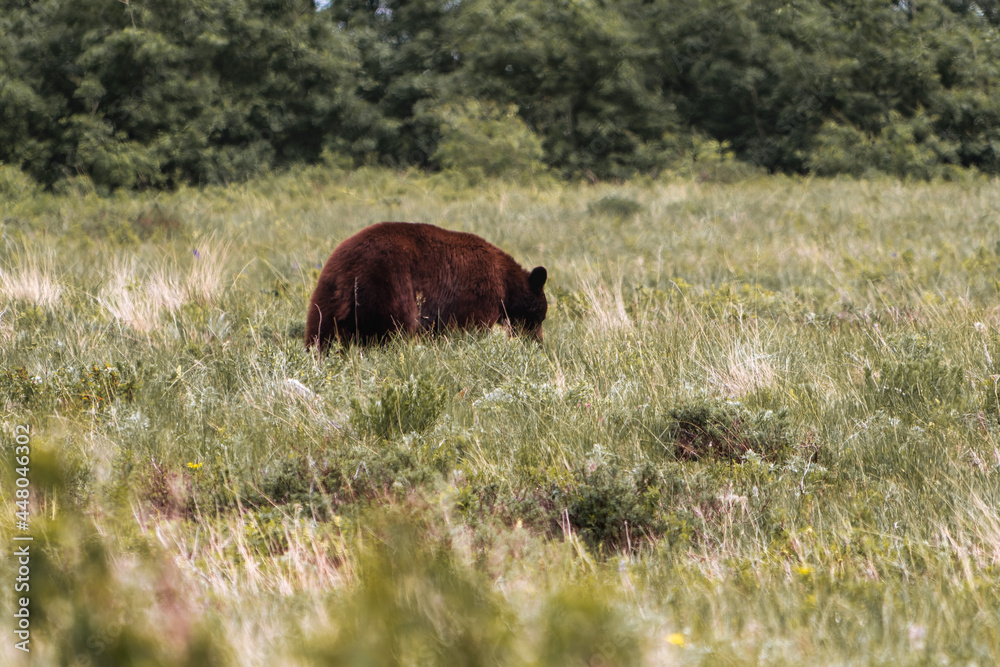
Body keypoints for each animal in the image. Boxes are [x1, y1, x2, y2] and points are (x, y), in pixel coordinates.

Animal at [308, 223, 552, 350]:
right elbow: (472, 326)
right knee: (397, 330)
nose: (538, 343)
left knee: (319, 336)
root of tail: (349, 275)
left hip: (325, 297)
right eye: (539, 317)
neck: (505, 284)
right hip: (389, 288)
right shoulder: (477, 295)